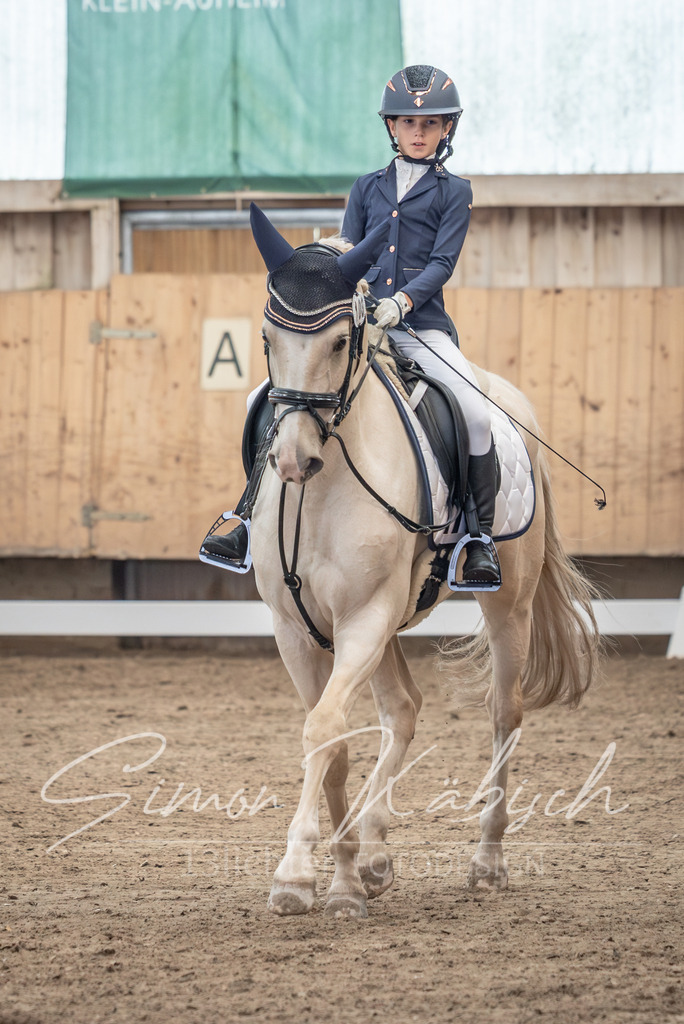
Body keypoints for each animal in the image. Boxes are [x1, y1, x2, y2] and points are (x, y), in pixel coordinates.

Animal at [232, 204, 601, 918]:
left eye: (341, 343)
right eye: (267, 337)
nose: (291, 460)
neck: (320, 492)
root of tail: (511, 401)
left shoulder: (364, 619)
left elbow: (323, 729)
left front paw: (296, 875)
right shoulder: (298, 630)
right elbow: (336, 744)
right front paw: (346, 879)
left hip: (504, 606)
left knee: (504, 712)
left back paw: (487, 862)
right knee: (402, 708)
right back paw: (375, 855)